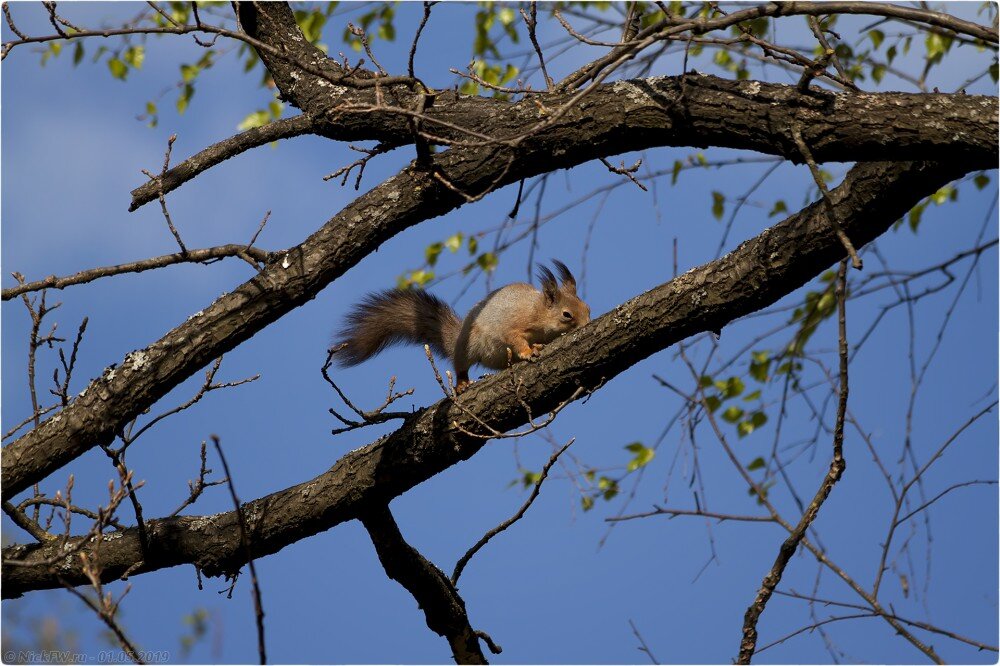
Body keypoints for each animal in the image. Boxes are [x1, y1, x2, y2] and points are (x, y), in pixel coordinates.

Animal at [336, 260, 588, 392]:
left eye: (588, 308)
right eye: (566, 315)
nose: (587, 324)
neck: (537, 311)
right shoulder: (515, 324)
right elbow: (514, 338)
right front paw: (529, 351)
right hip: (468, 347)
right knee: (460, 365)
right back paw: (463, 383)